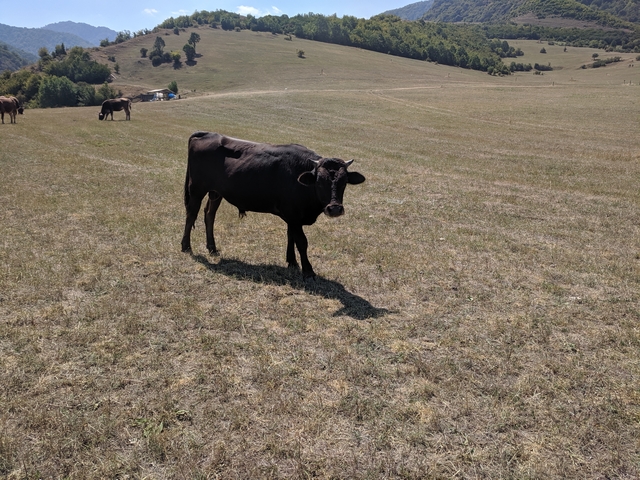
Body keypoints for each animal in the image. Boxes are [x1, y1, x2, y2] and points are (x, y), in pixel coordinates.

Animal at [181, 132, 366, 279]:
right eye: (319, 182)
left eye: (344, 182)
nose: (334, 209)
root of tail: (207, 134)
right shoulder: (294, 215)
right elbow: (301, 241)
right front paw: (308, 270)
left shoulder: (292, 217)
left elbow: (291, 236)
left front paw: (292, 262)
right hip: (197, 189)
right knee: (191, 214)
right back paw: (186, 246)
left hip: (216, 192)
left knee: (209, 215)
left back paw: (212, 248)